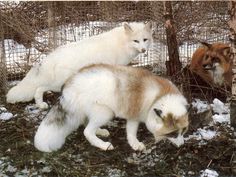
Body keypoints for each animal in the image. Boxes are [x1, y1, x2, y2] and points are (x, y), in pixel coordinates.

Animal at [6, 22, 153, 109]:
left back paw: (40, 105)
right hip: (57, 84)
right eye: (136, 41)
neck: (122, 42)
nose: (143, 50)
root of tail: (50, 57)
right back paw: (41, 104)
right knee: (40, 88)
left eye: (145, 40)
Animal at [34, 64, 190, 153]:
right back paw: (103, 145)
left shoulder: (134, 116)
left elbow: (130, 132)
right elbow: (131, 133)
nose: (183, 145)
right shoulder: (134, 114)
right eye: (172, 134)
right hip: (106, 112)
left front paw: (134, 144)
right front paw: (136, 144)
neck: (157, 98)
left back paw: (100, 131)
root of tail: (68, 84)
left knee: (86, 123)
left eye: (183, 131)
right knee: (87, 131)